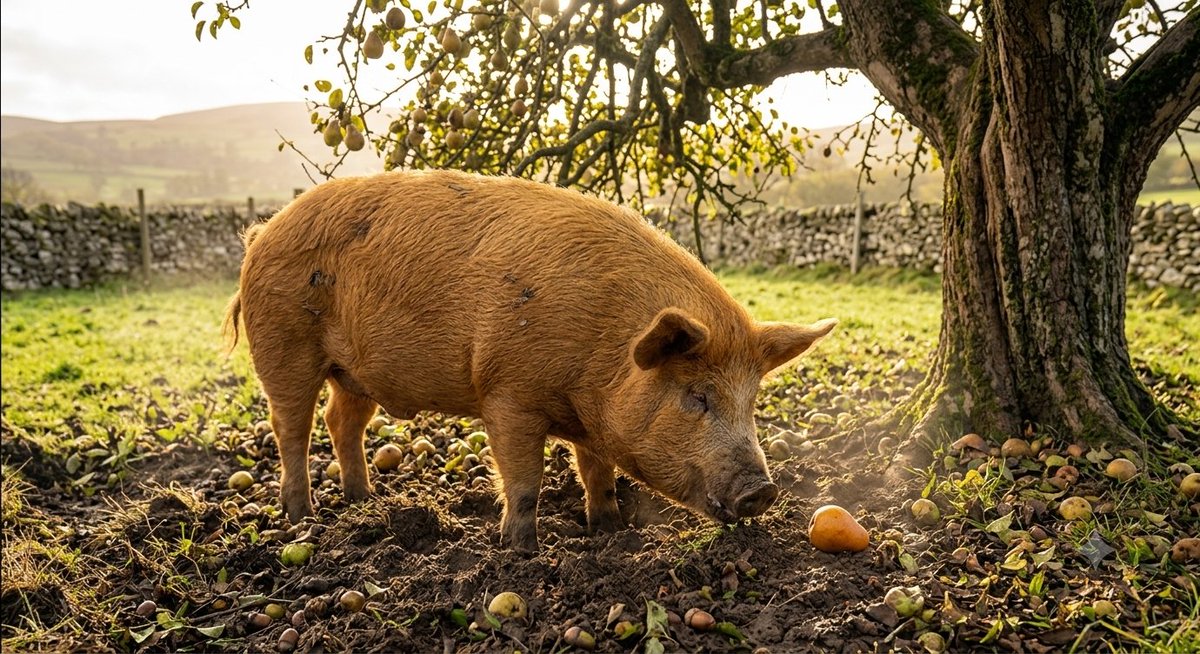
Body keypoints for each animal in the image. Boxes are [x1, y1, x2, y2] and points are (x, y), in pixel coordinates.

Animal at [225, 169, 835, 551]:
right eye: (697, 396)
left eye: (752, 401)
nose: (762, 491)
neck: (603, 356)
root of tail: (261, 232)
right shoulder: (507, 393)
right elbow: (525, 478)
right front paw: (521, 550)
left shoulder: (591, 418)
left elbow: (597, 471)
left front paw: (609, 530)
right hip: (282, 347)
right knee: (291, 426)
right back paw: (301, 514)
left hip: (355, 375)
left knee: (341, 421)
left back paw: (363, 500)